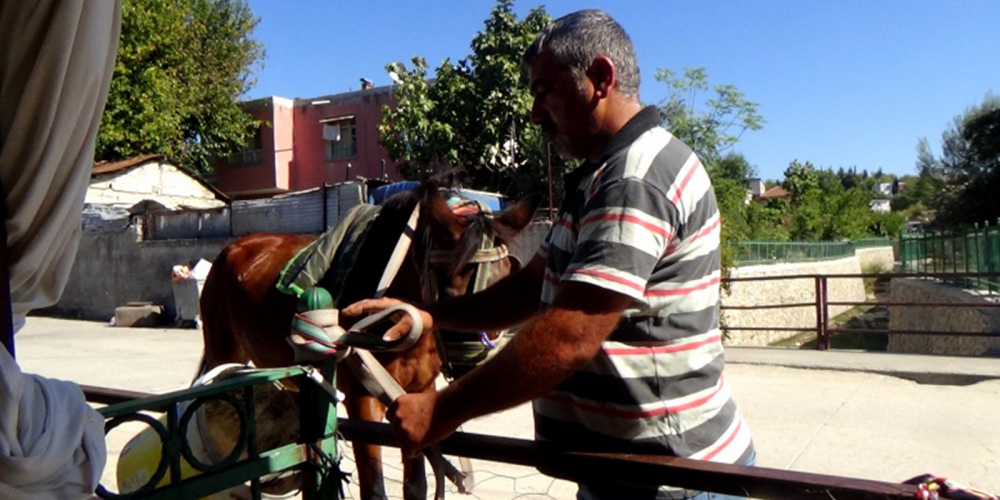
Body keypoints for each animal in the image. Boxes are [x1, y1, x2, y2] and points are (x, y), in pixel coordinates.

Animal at [196, 183, 540, 500]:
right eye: (450, 286)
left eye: (505, 282)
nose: (471, 366)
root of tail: (233, 247)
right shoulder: (361, 399)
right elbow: (374, 490)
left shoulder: (419, 390)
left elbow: (416, 485)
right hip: (222, 348)